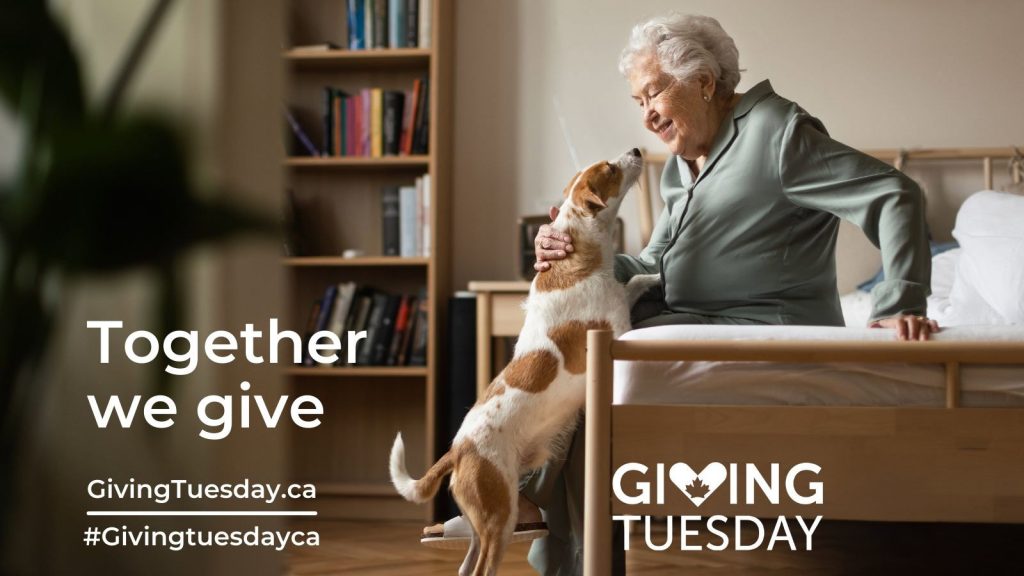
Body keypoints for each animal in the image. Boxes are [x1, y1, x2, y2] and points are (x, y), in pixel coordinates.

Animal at [389, 146, 647, 569]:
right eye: (610, 168)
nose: (638, 150)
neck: (576, 251)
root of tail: (457, 450)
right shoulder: (618, 333)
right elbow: (632, 291)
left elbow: (636, 281)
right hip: (499, 518)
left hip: (482, 526)